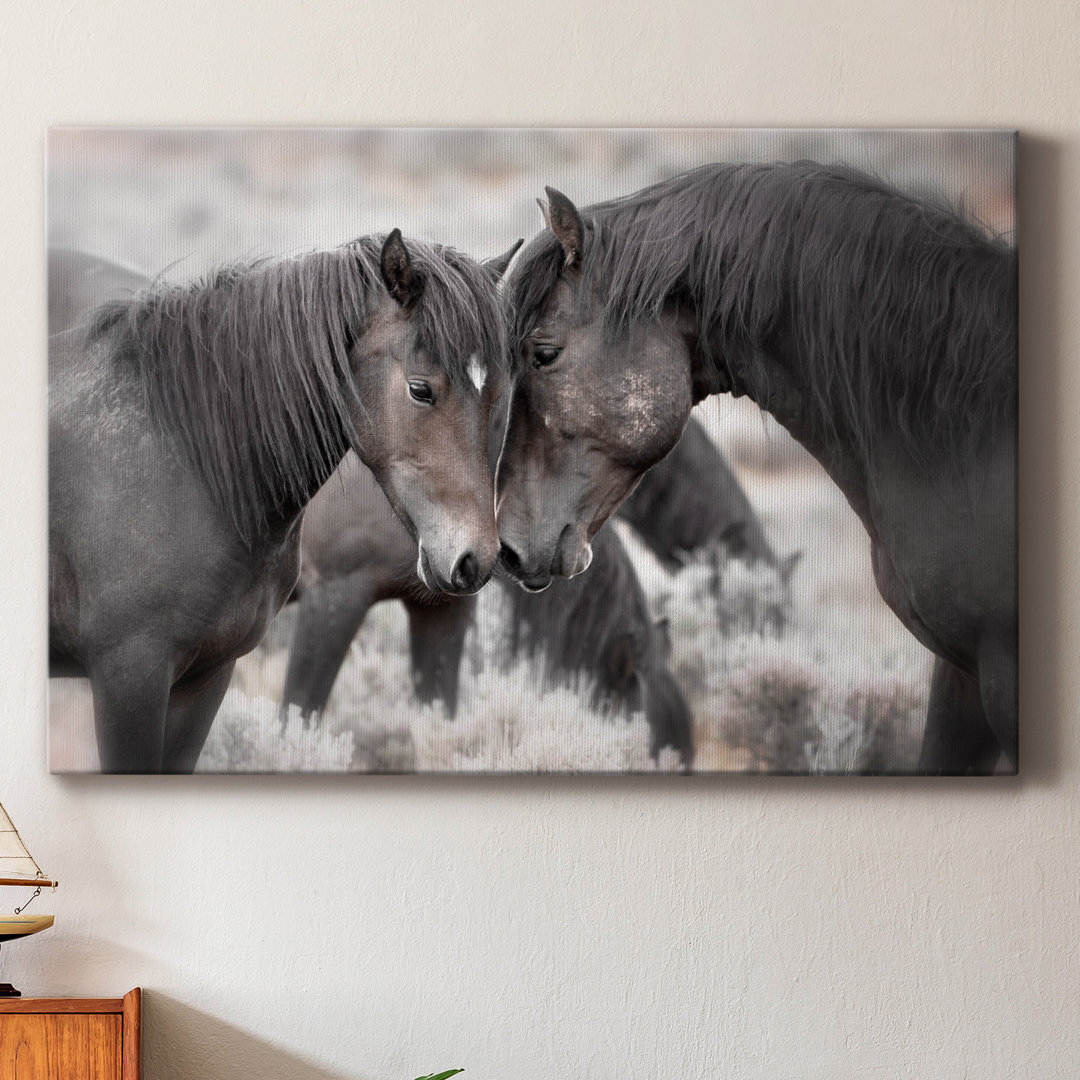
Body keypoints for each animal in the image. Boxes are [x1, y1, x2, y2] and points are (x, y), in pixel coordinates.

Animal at [49, 234, 513, 773]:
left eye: (497, 397)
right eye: (420, 389)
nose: (475, 558)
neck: (185, 465)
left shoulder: (206, 675)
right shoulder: (131, 675)